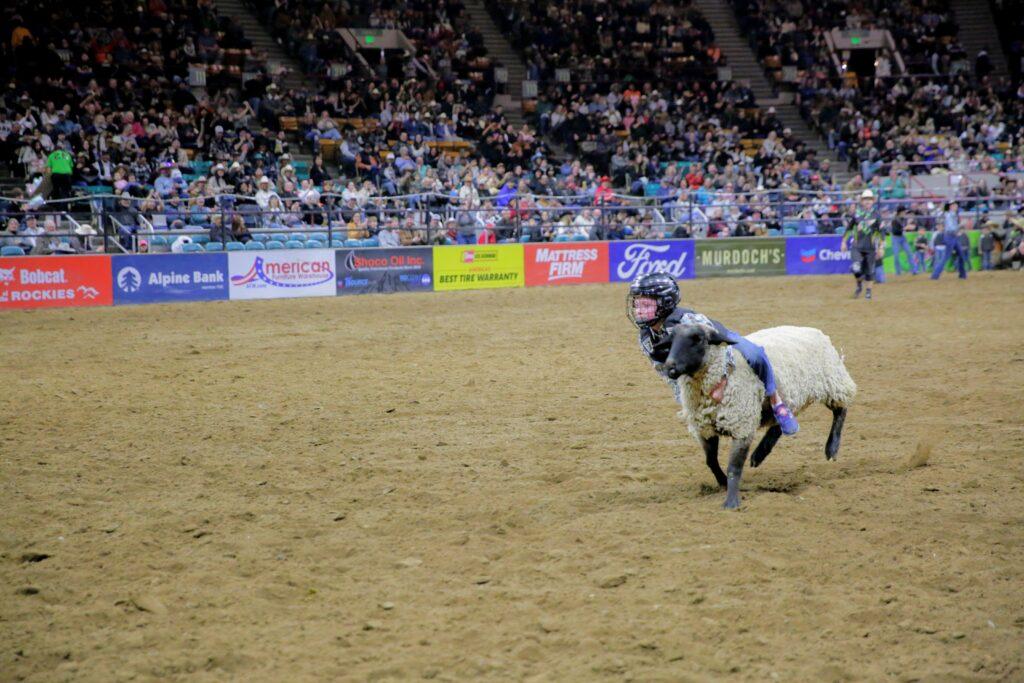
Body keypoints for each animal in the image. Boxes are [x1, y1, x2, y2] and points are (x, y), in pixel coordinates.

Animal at [659, 325, 851, 507]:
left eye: (698, 339)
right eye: (670, 340)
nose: (670, 367)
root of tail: (814, 330)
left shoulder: (742, 425)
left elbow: (734, 467)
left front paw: (731, 501)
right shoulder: (705, 428)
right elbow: (711, 461)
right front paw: (723, 483)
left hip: (832, 382)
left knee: (841, 410)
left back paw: (832, 448)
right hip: (790, 394)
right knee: (778, 424)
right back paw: (759, 454)